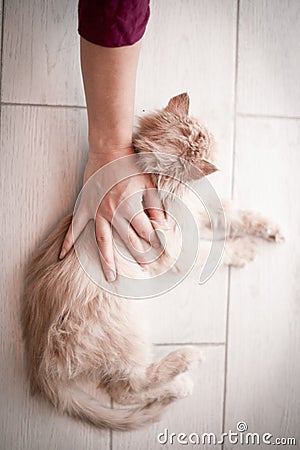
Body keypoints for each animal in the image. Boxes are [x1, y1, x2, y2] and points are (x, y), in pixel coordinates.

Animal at [21, 92, 284, 432]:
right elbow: (218, 249)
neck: (166, 188)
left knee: (121, 391)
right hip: (130, 333)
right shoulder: (179, 247)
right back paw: (185, 371)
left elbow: (234, 213)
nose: (215, 151)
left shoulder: (200, 213)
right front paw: (244, 251)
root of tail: (39, 362)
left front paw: (271, 228)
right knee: (131, 386)